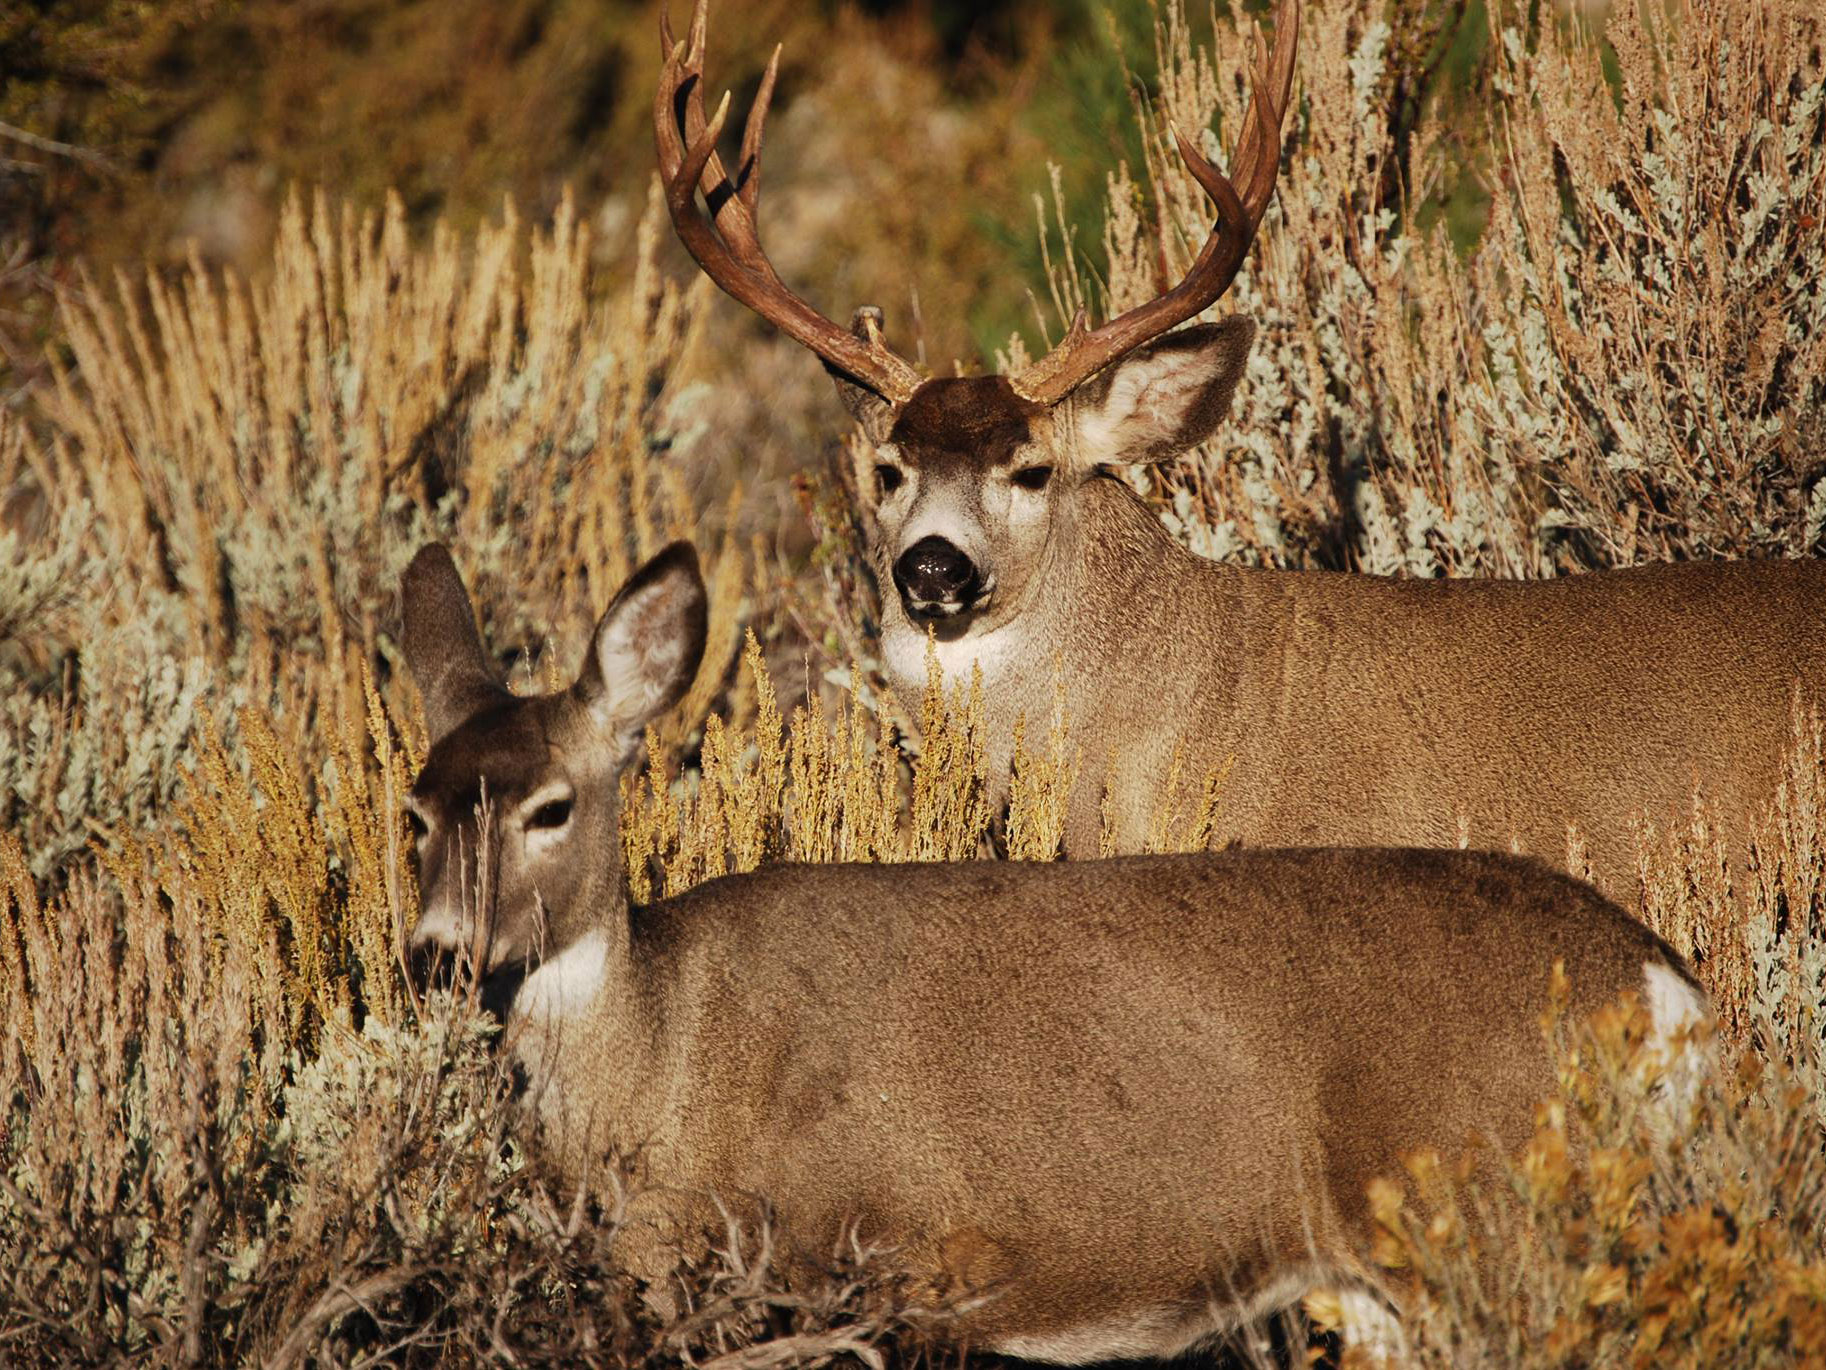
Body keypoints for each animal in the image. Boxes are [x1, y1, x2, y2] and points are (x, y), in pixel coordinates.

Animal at [396, 540, 1709, 1366]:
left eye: (550, 806)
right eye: (413, 809)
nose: (435, 952)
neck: (665, 1050)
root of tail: (1662, 985)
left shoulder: (818, 1265)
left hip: (1486, 1213)